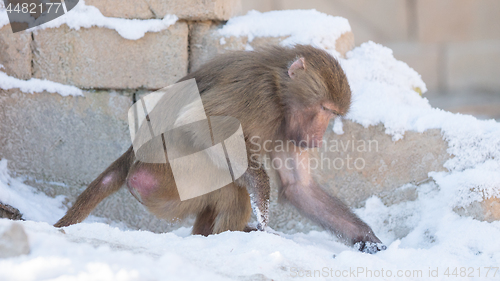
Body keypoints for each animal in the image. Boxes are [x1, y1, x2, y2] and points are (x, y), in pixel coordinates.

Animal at [54, 44, 384, 253]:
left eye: (332, 113)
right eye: (324, 109)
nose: (317, 138)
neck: (279, 91)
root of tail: (132, 159)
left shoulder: (287, 129)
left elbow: (298, 188)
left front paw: (370, 241)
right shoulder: (257, 95)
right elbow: (200, 124)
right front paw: (263, 206)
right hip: (166, 182)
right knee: (229, 184)